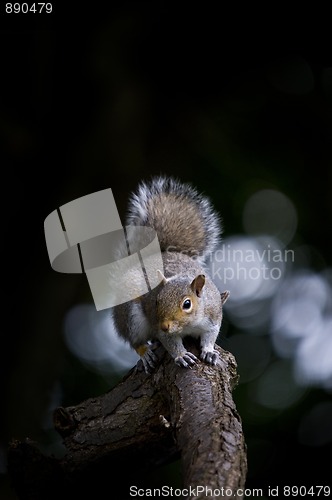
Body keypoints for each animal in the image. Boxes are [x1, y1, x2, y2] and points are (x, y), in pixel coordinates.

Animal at [111, 177, 228, 372]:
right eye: (156, 301)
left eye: (187, 304)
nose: (165, 326)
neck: (189, 324)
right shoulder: (159, 327)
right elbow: (170, 342)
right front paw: (181, 355)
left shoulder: (213, 316)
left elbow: (210, 335)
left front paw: (209, 351)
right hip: (131, 316)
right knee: (134, 340)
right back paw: (145, 353)